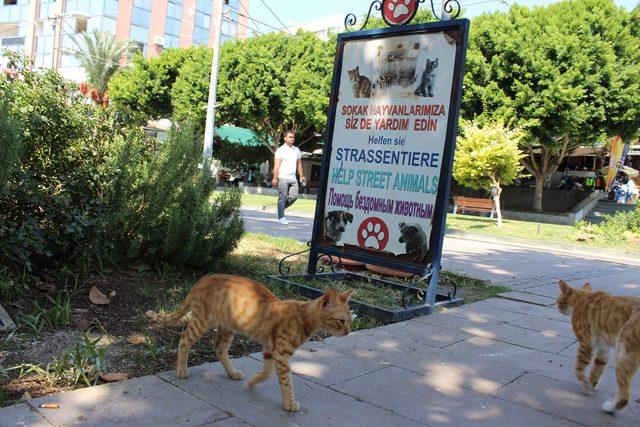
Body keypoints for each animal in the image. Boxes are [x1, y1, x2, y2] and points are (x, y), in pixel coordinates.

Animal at [146, 276, 356, 412]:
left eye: (350, 319)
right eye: (341, 321)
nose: (348, 332)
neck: (303, 318)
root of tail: (203, 278)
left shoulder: (270, 349)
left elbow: (267, 372)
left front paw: (254, 382)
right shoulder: (281, 354)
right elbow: (286, 382)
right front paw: (289, 403)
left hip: (227, 327)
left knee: (218, 347)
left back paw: (232, 373)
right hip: (202, 322)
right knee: (184, 339)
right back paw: (181, 369)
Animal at [556, 280, 640, 414]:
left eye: (558, 301)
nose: (557, 306)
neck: (582, 299)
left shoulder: (586, 344)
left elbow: (578, 368)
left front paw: (585, 385)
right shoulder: (603, 348)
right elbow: (597, 368)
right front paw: (591, 383)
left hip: (623, 354)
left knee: (624, 396)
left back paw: (610, 408)